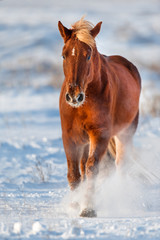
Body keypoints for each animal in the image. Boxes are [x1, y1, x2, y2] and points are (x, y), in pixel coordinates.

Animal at [58, 17, 141, 218]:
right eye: (64, 55)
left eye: (88, 56)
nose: (74, 96)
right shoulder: (70, 137)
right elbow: (74, 174)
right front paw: (74, 205)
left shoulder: (100, 135)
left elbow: (92, 169)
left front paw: (88, 208)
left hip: (125, 134)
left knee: (120, 165)